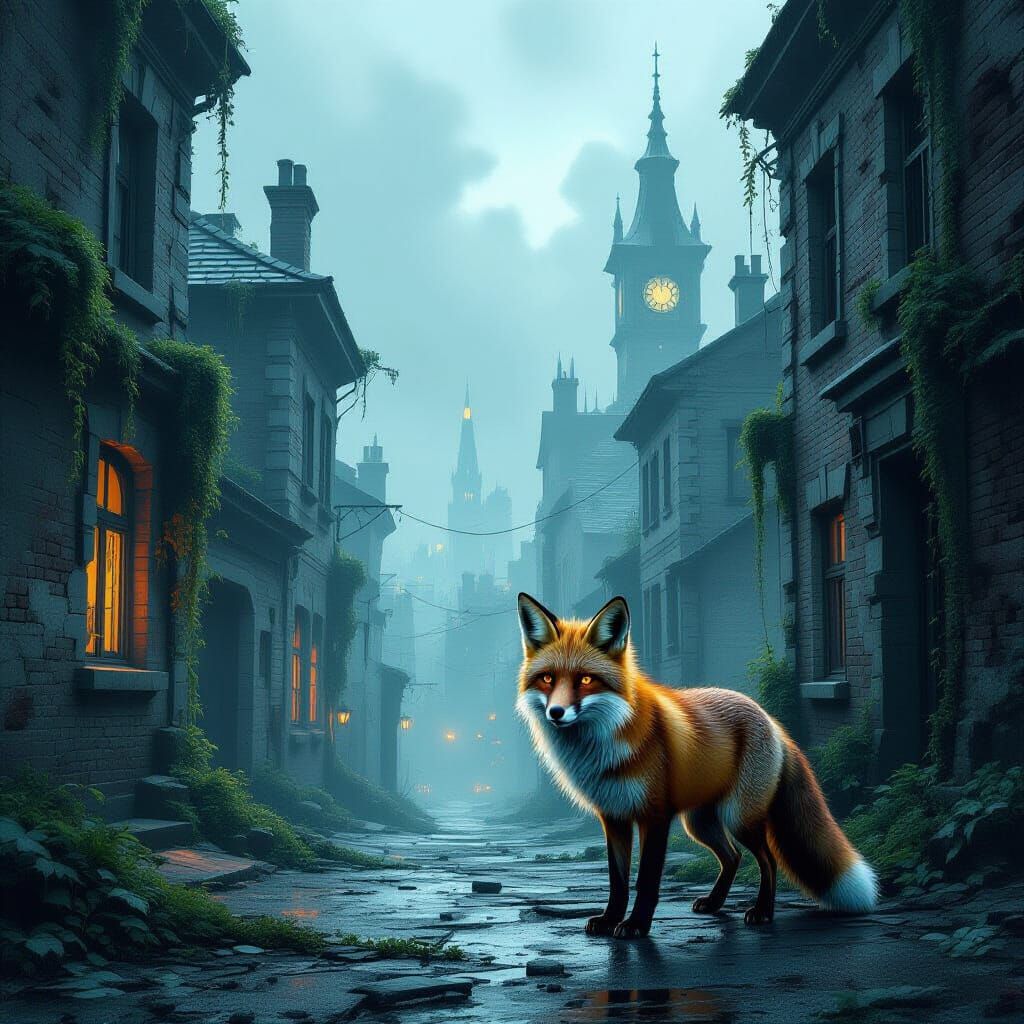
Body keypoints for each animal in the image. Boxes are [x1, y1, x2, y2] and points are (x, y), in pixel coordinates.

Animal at [515, 592, 878, 939]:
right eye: (547, 678)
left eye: (586, 680)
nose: (556, 713)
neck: (604, 744)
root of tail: (770, 719)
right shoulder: (614, 817)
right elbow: (617, 882)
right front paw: (610, 920)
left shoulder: (654, 816)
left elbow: (646, 880)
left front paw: (636, 926)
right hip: (699, 823)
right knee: (733, 856)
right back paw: (715, 903)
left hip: (738, 817)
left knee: (768, 860)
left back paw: (762, 911)